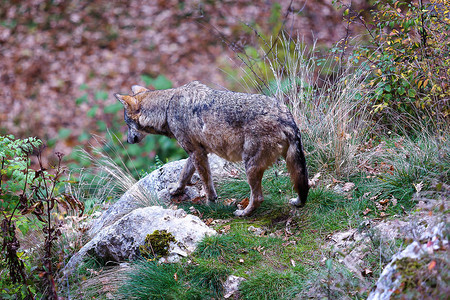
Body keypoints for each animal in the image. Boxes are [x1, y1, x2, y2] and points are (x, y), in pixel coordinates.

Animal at [114, 80, 308, 216]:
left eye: (127, 124)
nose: (128, 140)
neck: (168, 108)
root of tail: (287, 118)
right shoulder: (197, 152)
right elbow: (184, 174)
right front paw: (177, 189)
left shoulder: (197, 153)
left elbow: (207, 184)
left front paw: (210, 204)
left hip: (250, 166)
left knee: (258, 197)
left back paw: (243, 213)